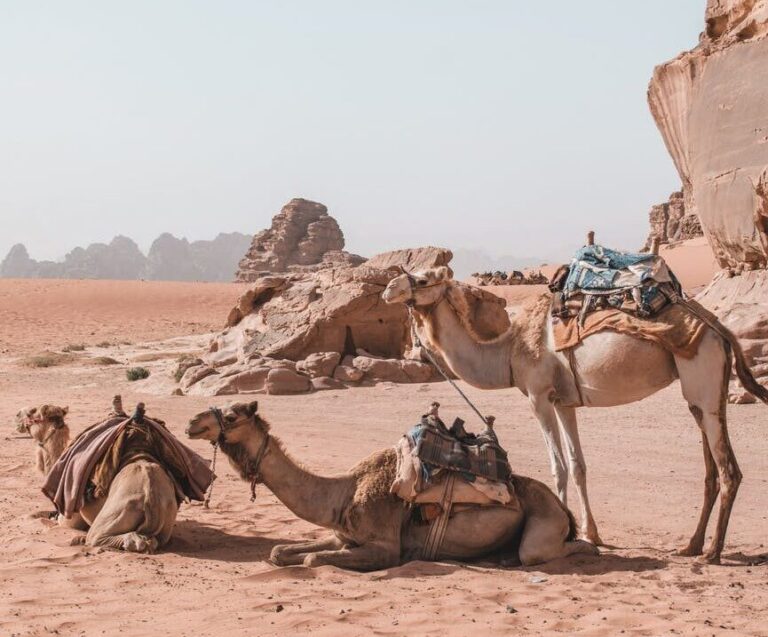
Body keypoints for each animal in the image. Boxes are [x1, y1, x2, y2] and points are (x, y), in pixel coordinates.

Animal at [184, 400, 592, 568]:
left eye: (232, 416)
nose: (192, 423)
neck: (343, 493)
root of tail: (562, 508)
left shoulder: (384, 546)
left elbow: (314, 559)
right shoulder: (343, 537)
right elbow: (279, 552)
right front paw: (284, 553)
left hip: (543, 524)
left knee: (549, 551)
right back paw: (503, 556)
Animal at [384, 266, 768, 564]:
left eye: (421, 279)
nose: (389, 289)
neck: (507, 352)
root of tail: (721, 329)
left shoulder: (538, 396)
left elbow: (558, 466)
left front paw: (564, 529)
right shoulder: (564, 402)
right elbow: (578, 465)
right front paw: (591, 533)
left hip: (702, 374)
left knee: (728, 470)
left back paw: (712, 553)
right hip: (700, 393)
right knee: (711, 468)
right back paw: (691, 546)